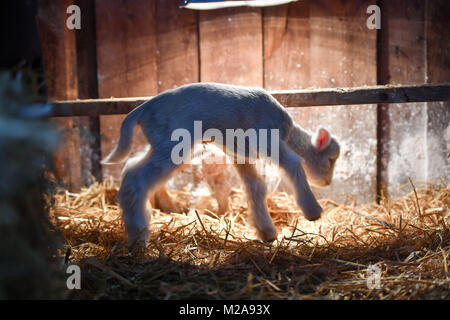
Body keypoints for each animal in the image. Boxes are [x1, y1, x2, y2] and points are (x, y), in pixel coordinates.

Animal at [102, 83, 340, 248]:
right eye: (330, 159)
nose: (328, 182)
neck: (289, 134)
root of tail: (141, 110)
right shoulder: (267, 138)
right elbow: (293, 163)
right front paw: (312, 210)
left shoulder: (240, 154)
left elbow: (256, 187)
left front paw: (267, 232)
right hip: (172, 142)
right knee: (135, 180)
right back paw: (137, 236)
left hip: (160, 142)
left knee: (131, 166)